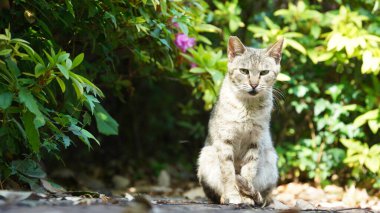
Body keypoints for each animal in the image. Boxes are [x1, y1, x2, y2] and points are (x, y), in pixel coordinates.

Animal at [197, 35, 284, 206]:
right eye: (244, 71)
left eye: (264, 72)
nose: (254, 84)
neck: (248, 107)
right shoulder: (225, 140)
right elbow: (228, 173)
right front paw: (233, 195)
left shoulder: (255, 142)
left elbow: (248, 172)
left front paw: (246, 197)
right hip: (206, 156)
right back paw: (224, 197)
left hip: (270, 161)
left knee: (264, 193)